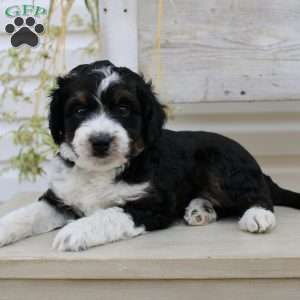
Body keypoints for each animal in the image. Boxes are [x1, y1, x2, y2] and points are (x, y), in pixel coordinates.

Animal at [0, 60, 300, 251]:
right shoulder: (61, 198)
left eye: (123, 108)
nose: (101, 141)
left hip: (223, 166)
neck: (102, 171)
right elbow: (26, 214)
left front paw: (77, 231)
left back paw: (257, 216)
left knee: (260, 195)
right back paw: (200, 209)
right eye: (79, 110)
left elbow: (109, 214)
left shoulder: (152, 205)